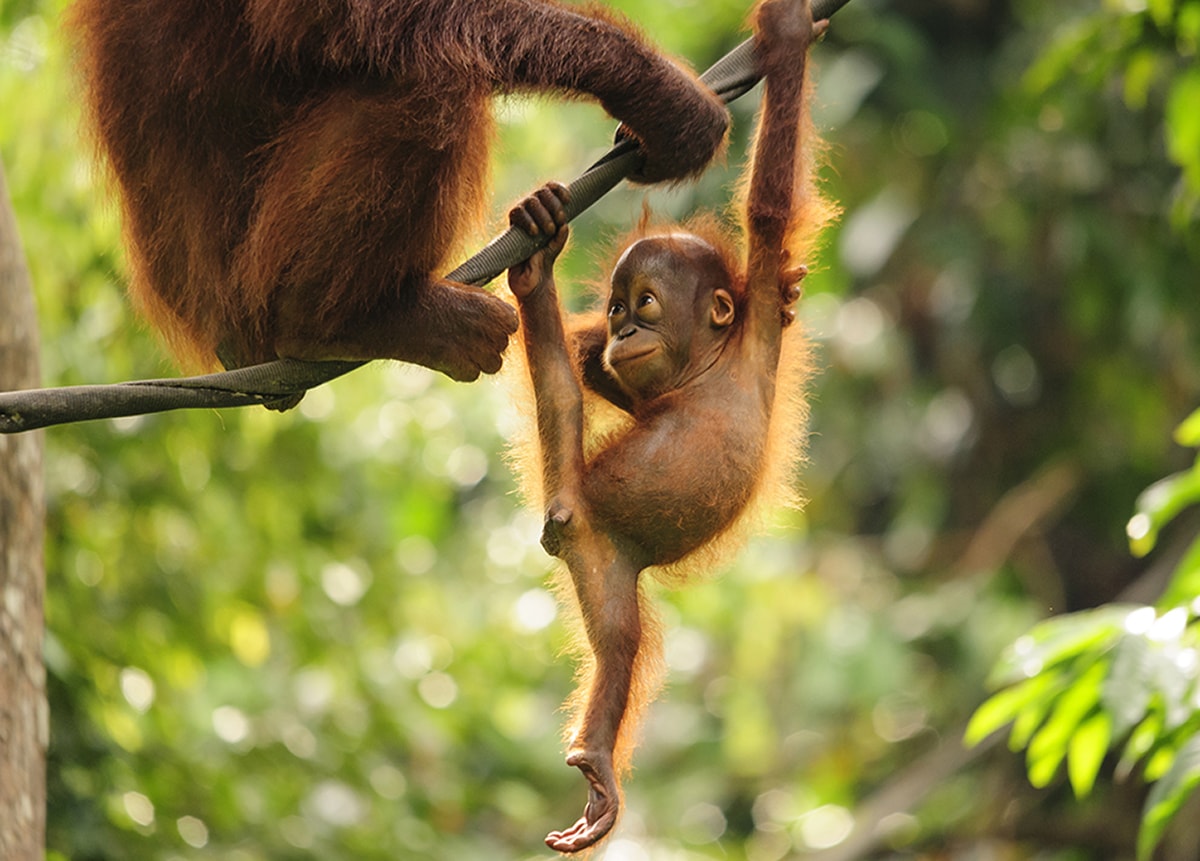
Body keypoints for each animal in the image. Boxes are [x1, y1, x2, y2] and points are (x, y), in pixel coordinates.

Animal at [505, 0, 834, 850]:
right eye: (619, 307)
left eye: (644, 305)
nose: (623, 329)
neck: (711, 366)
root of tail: (572, 514)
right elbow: (768, 208)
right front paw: (787, 38)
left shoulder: (752, 327)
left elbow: (768, 218)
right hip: (587, 525)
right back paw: (532, 274)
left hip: (601, 564)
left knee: (619, 647)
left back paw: (595, 762)